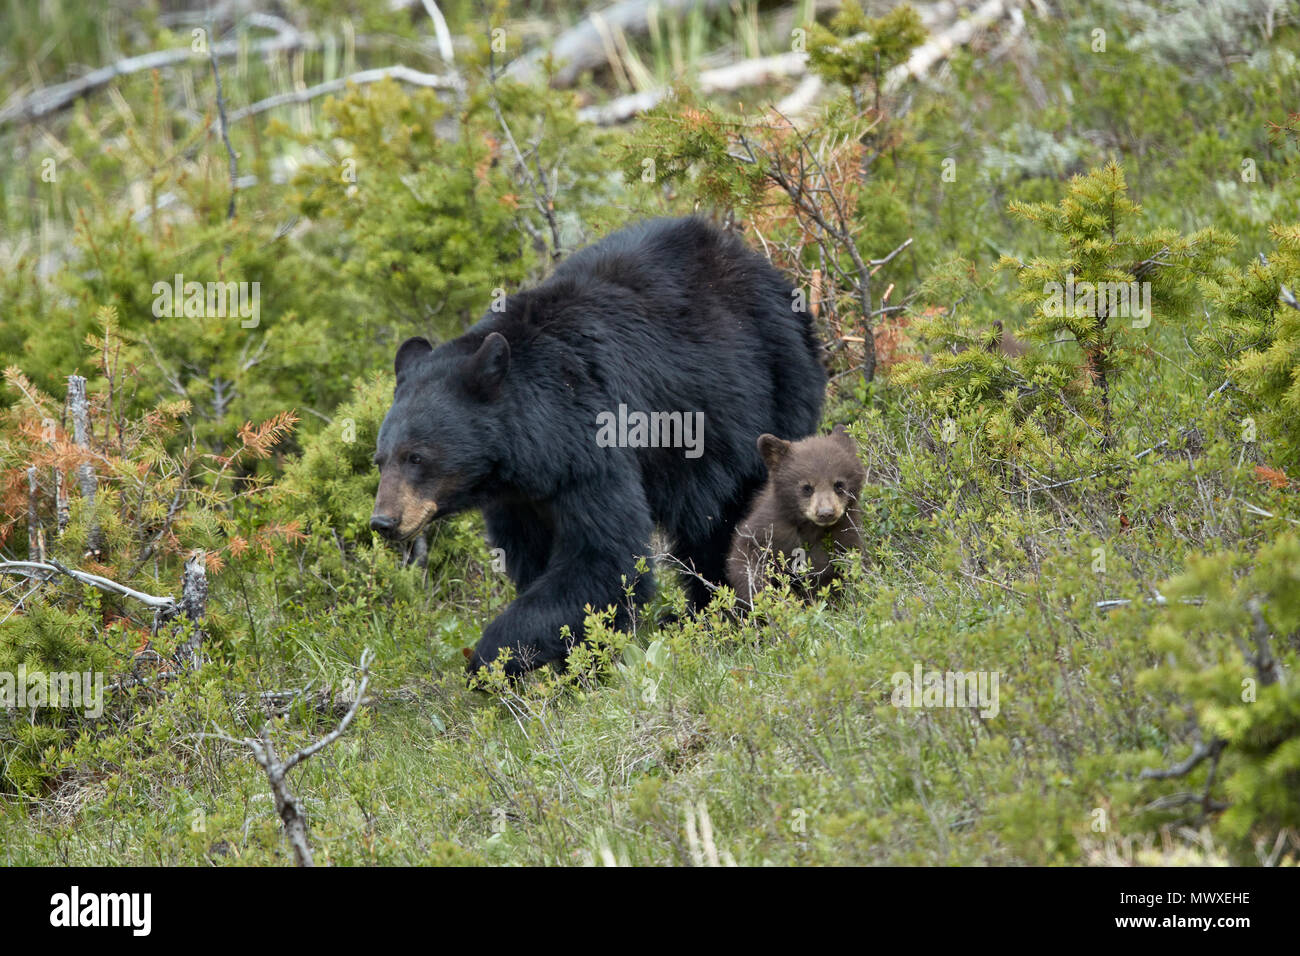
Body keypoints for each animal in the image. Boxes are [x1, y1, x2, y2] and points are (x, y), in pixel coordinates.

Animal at [369, 217, 827, 676]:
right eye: (380, 460)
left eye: (416, 457)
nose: (383, 521)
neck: (532, 444)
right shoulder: (518, 497)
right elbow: (534, 557)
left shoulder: (593, 443)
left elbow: (603, 558)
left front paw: (490, 660)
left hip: (770, 392)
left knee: (735, 518)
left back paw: (727, 613)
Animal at [725, 424, 866, 607]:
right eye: (807, 487)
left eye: (839, 485)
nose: (826, 513)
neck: (809, 528)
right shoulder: (770, 526)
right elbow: (745, 555)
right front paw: (762, 597)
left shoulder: (845, 534)